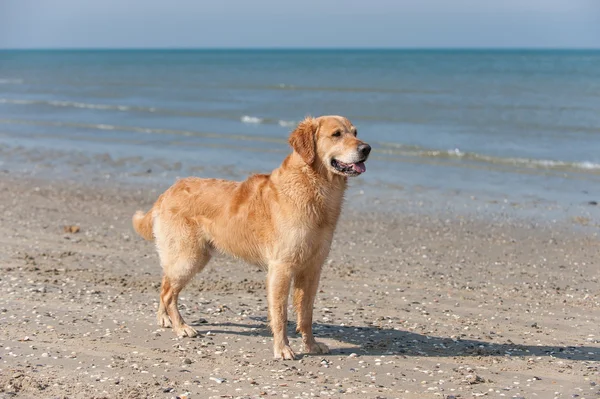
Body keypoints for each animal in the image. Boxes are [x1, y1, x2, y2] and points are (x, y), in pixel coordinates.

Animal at [132, 115, 370, 360]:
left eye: (355, 132)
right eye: (336, 134)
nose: (367, 148)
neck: (313, 186)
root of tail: (168, 191)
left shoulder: (312, 268)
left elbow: (306, 314)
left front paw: (311, 345)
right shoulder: (282, 267)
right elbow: (280, 314)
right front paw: (282, 348)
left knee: (165, 283)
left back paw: (164, 318)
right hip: (189, 257)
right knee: (169, 293)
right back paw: (181, 327)